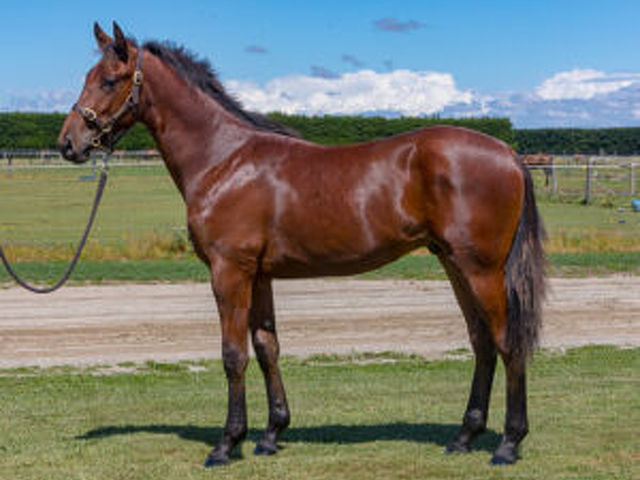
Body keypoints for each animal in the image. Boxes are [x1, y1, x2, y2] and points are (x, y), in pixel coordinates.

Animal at [58, 22, 546, 467]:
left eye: (109, 80)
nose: (68, 143)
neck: (224, 159)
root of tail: (508, 152)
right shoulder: (259, 275)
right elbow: (266, 347)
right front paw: (271, 434)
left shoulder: (229, 271)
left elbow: (233, 355)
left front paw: (226, 444)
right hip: (453, 263)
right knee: (482, 341)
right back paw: (464, 437)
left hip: (481, 268)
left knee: (506, 342)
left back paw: (508, 443)